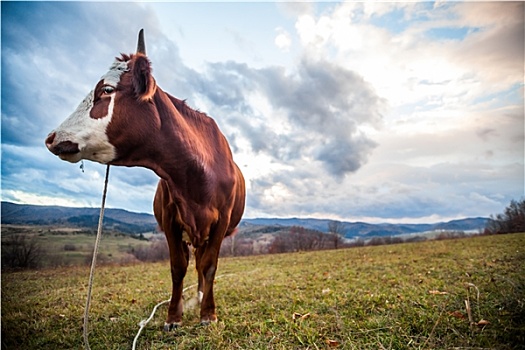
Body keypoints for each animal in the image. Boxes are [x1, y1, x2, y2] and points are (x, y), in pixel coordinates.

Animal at [45, 29, 246, 328]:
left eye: (106, 90)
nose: (51, 137)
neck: (196, 180)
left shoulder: (221, 220)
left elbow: (209, 265)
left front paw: (208, 313)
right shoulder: (171, 220)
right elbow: (178, 267)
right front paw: (174, 316)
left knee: (202, 263)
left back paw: (201, 296)